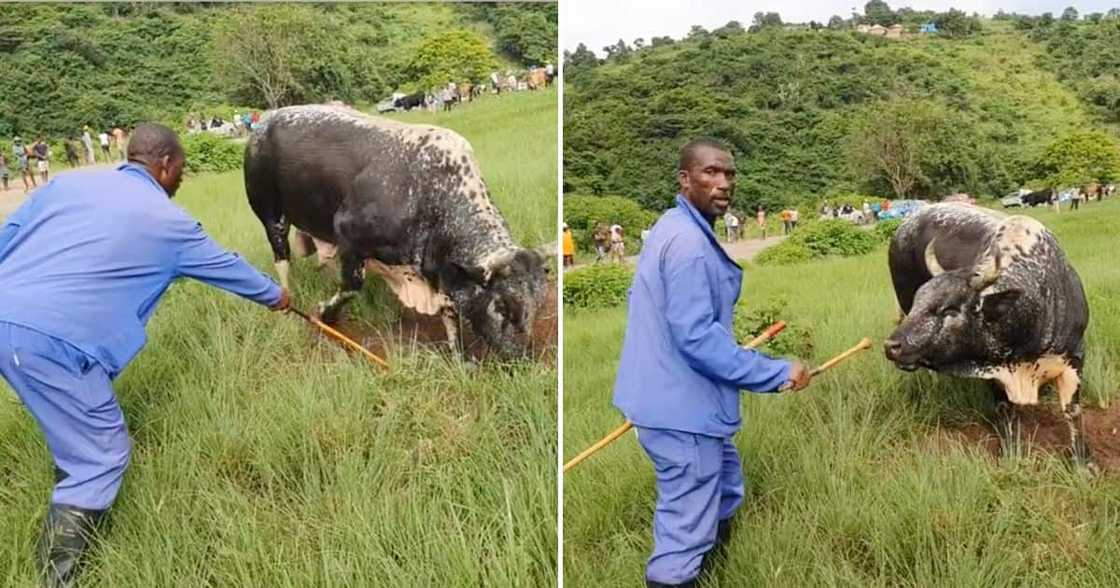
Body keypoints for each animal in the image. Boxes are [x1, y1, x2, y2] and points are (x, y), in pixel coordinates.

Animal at [244, 106, 546, 358]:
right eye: (502, 306)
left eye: (538, 304)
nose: (520, 357)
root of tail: (266, 120)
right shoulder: (348, 234)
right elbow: (351, 287)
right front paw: (325, 315)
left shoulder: (441, 269)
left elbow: (450, 311)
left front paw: (459, 356)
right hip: (271, 215)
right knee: (282, 260)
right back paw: (284, 298)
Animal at [878, 203, 1088, 465]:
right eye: (919, 301)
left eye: (950, 309)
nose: (891, 345)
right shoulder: (993, 368)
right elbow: (1004, 410)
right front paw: (1011, 453)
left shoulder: (1075, 357)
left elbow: (1072, 411)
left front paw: (1083, 461)